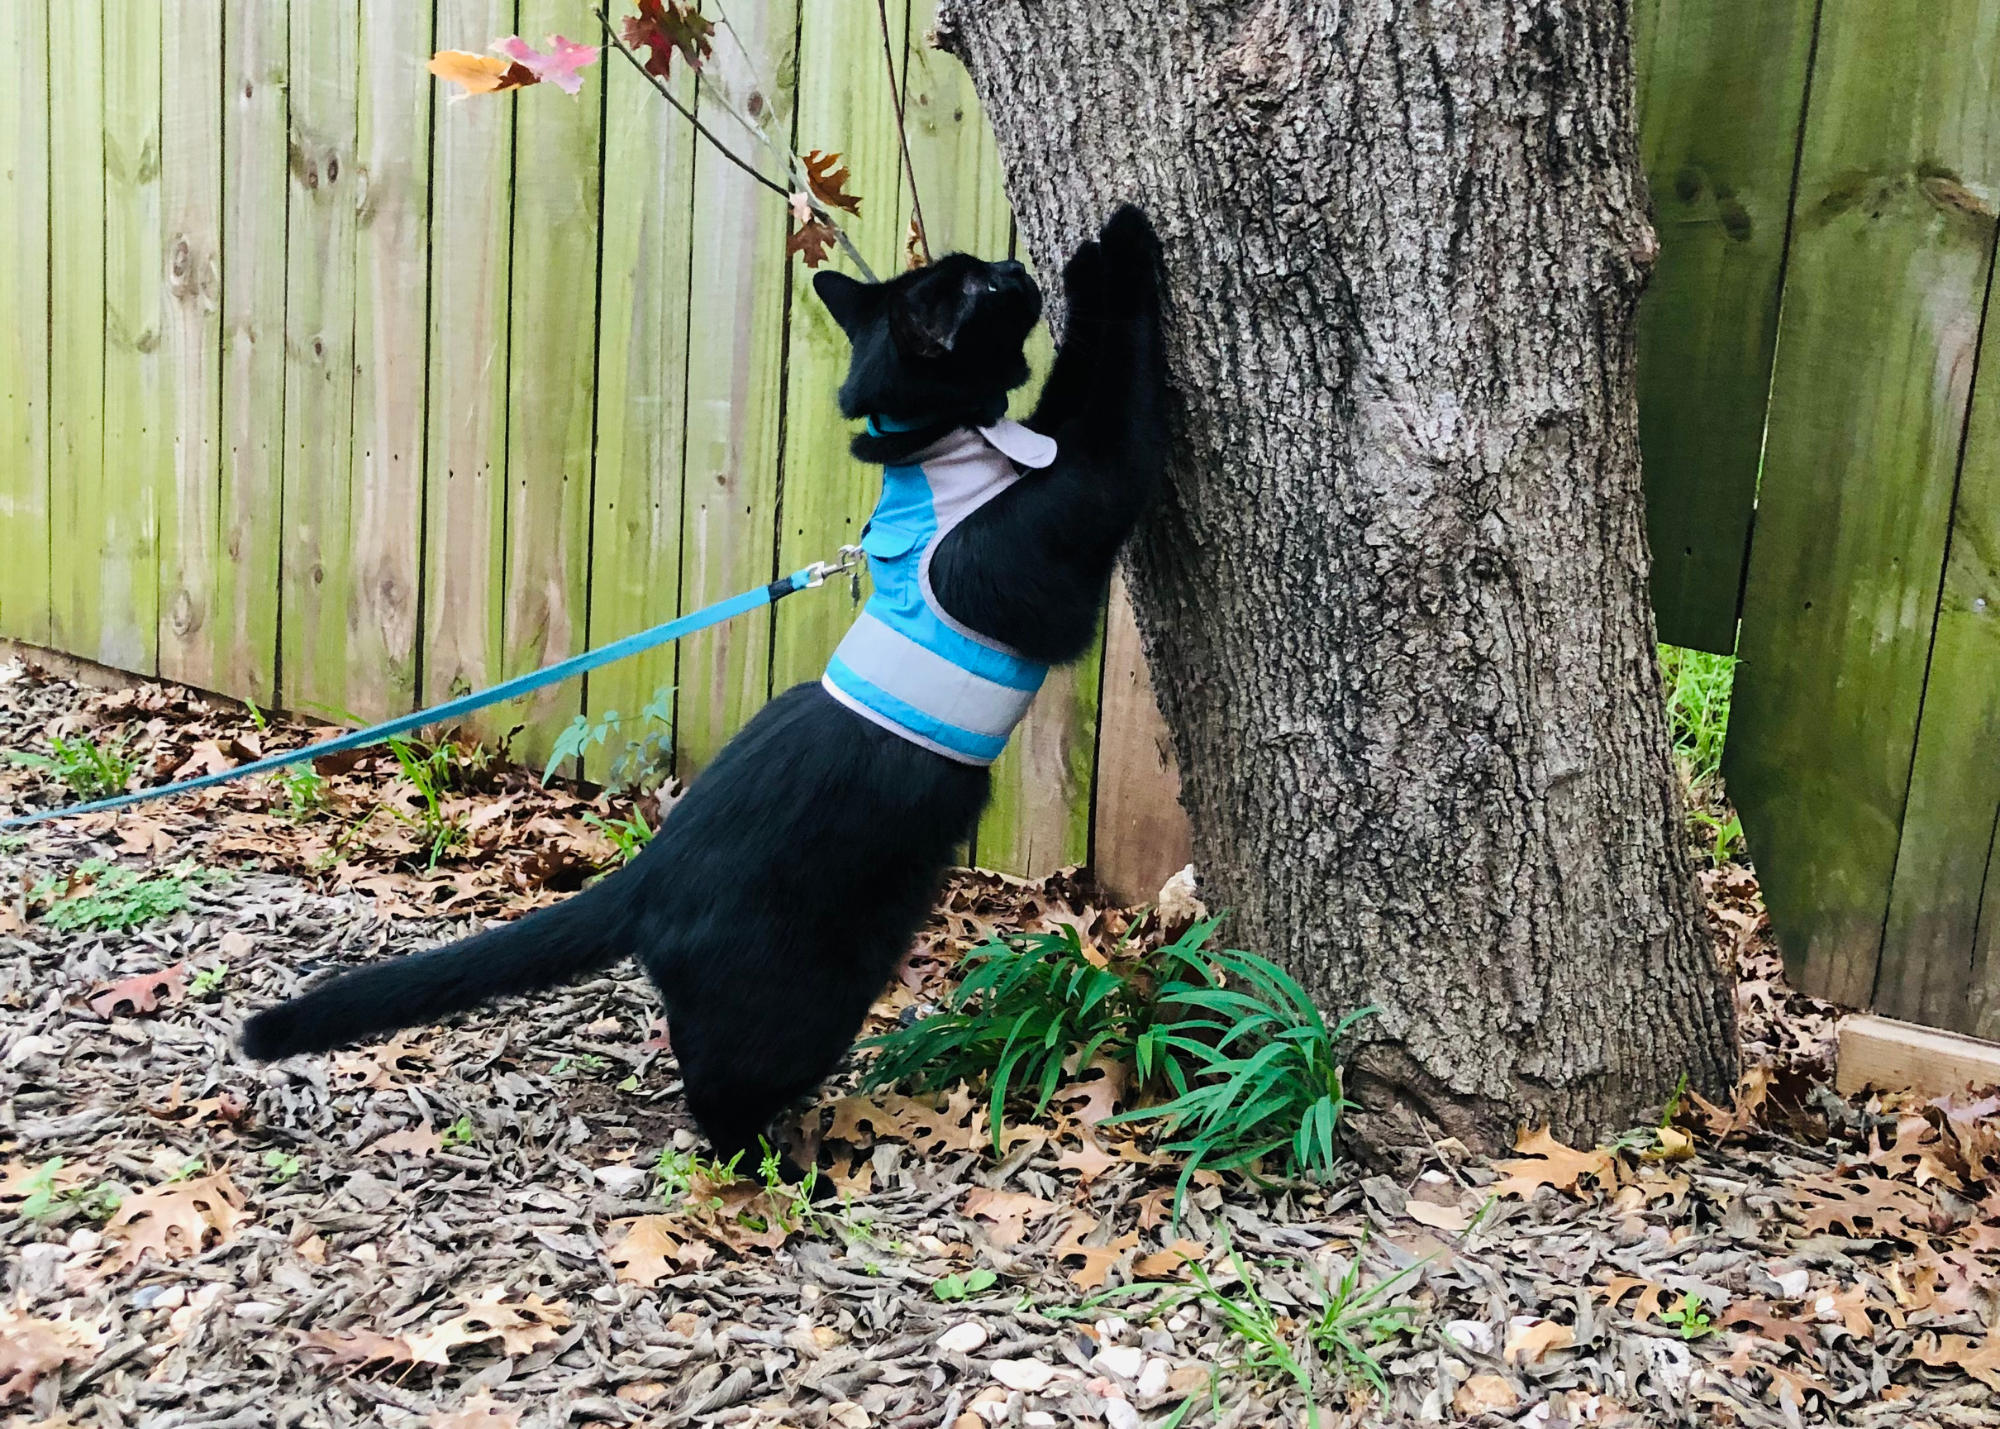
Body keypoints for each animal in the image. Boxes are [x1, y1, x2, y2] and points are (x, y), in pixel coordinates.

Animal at [240, 203, 1168, 1168]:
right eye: (982, 286)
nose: (1016, 265)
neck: (951, 454)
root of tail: (650, 872)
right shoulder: (1082, 500)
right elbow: (1117, 400)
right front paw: (1121, 249)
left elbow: (1072, 387)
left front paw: (1095, 252)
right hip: (806, 999)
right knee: (721, 1091)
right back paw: (776, 1166)